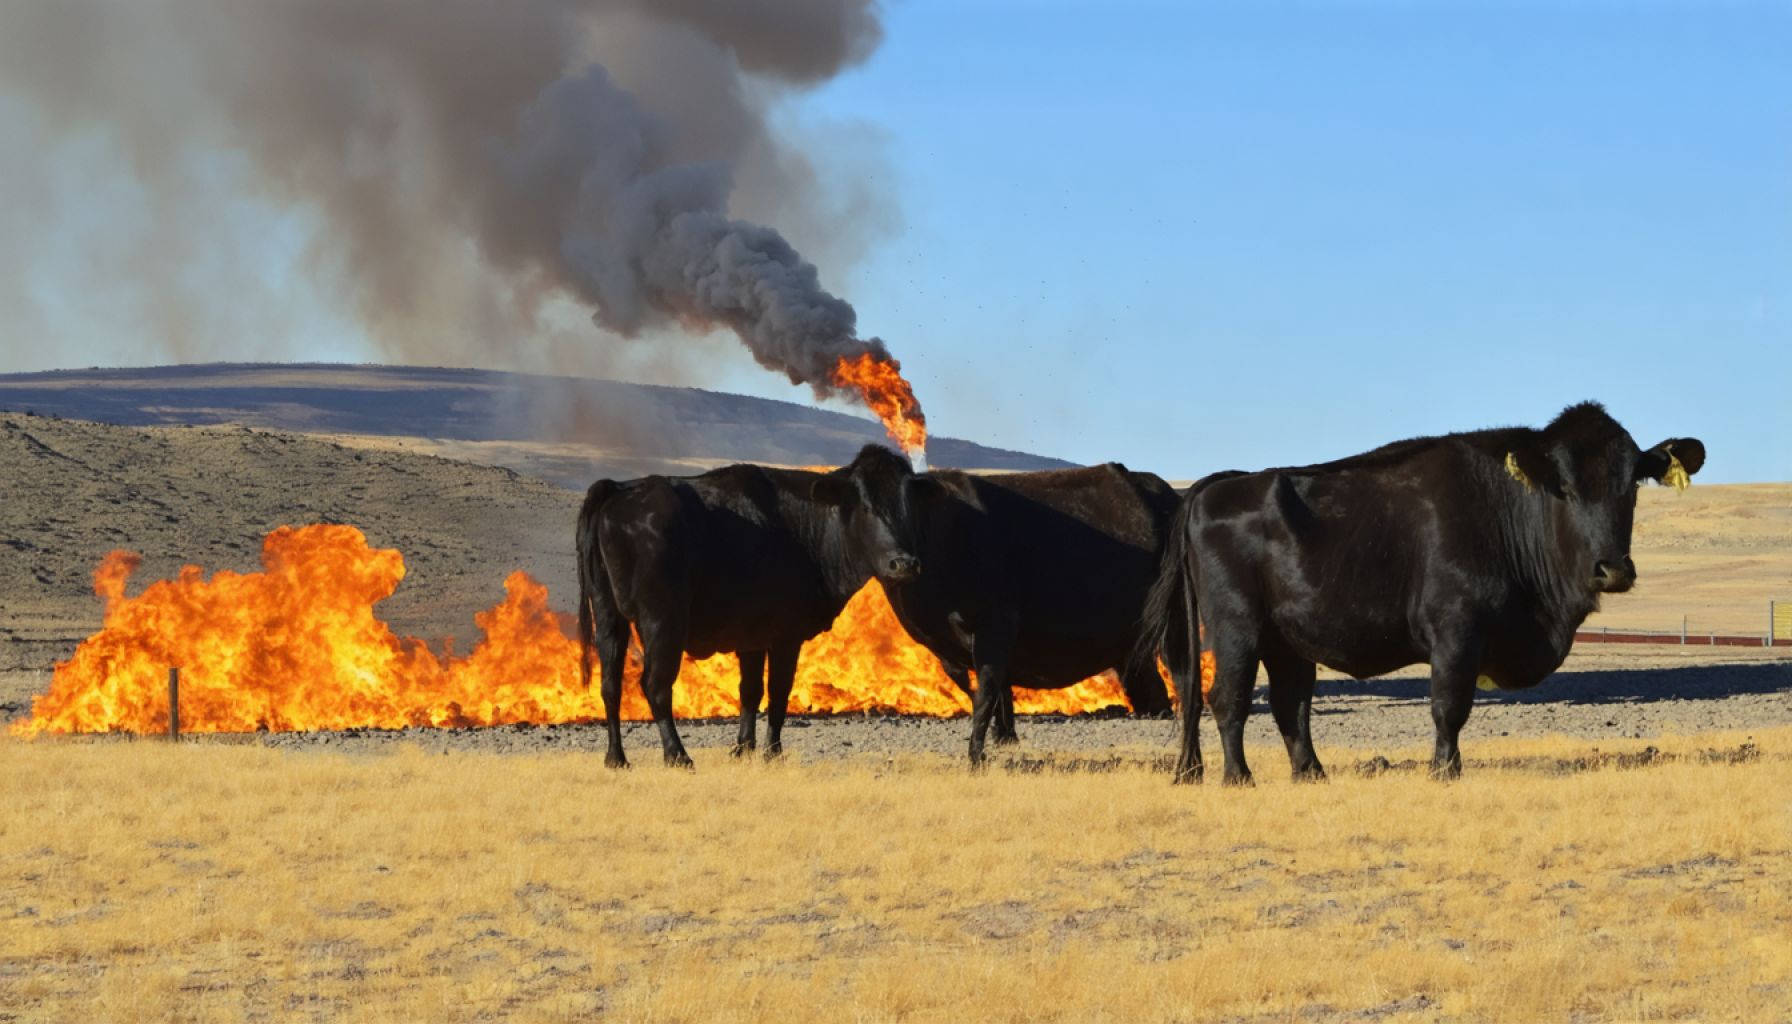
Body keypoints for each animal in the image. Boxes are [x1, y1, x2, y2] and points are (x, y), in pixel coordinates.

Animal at [577, 446, 924, 767]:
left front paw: (743, 748)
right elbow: (778, 691)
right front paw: (773, 752)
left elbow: (750, 691)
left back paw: (616, 758)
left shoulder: (752, 639)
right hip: (662, 620)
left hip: (608, 615)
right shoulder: (786, 637)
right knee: (655, 686)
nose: (904, 564)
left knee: (610, 685)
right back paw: (678, 754)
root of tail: (620, 488)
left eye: (906, 508)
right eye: (866, 507)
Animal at [1139, 403, 1698, 785]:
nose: (1612, 568)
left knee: (1289, 705)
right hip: (1237, 629)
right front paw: (1445, 770)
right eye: (1564, 485)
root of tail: (1217, 486)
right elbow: (1449, 707)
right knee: (1225, 699)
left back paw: (1311, 773)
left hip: (1286, 643)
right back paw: (1239, 777)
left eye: (1633, 483)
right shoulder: (1456, 635)